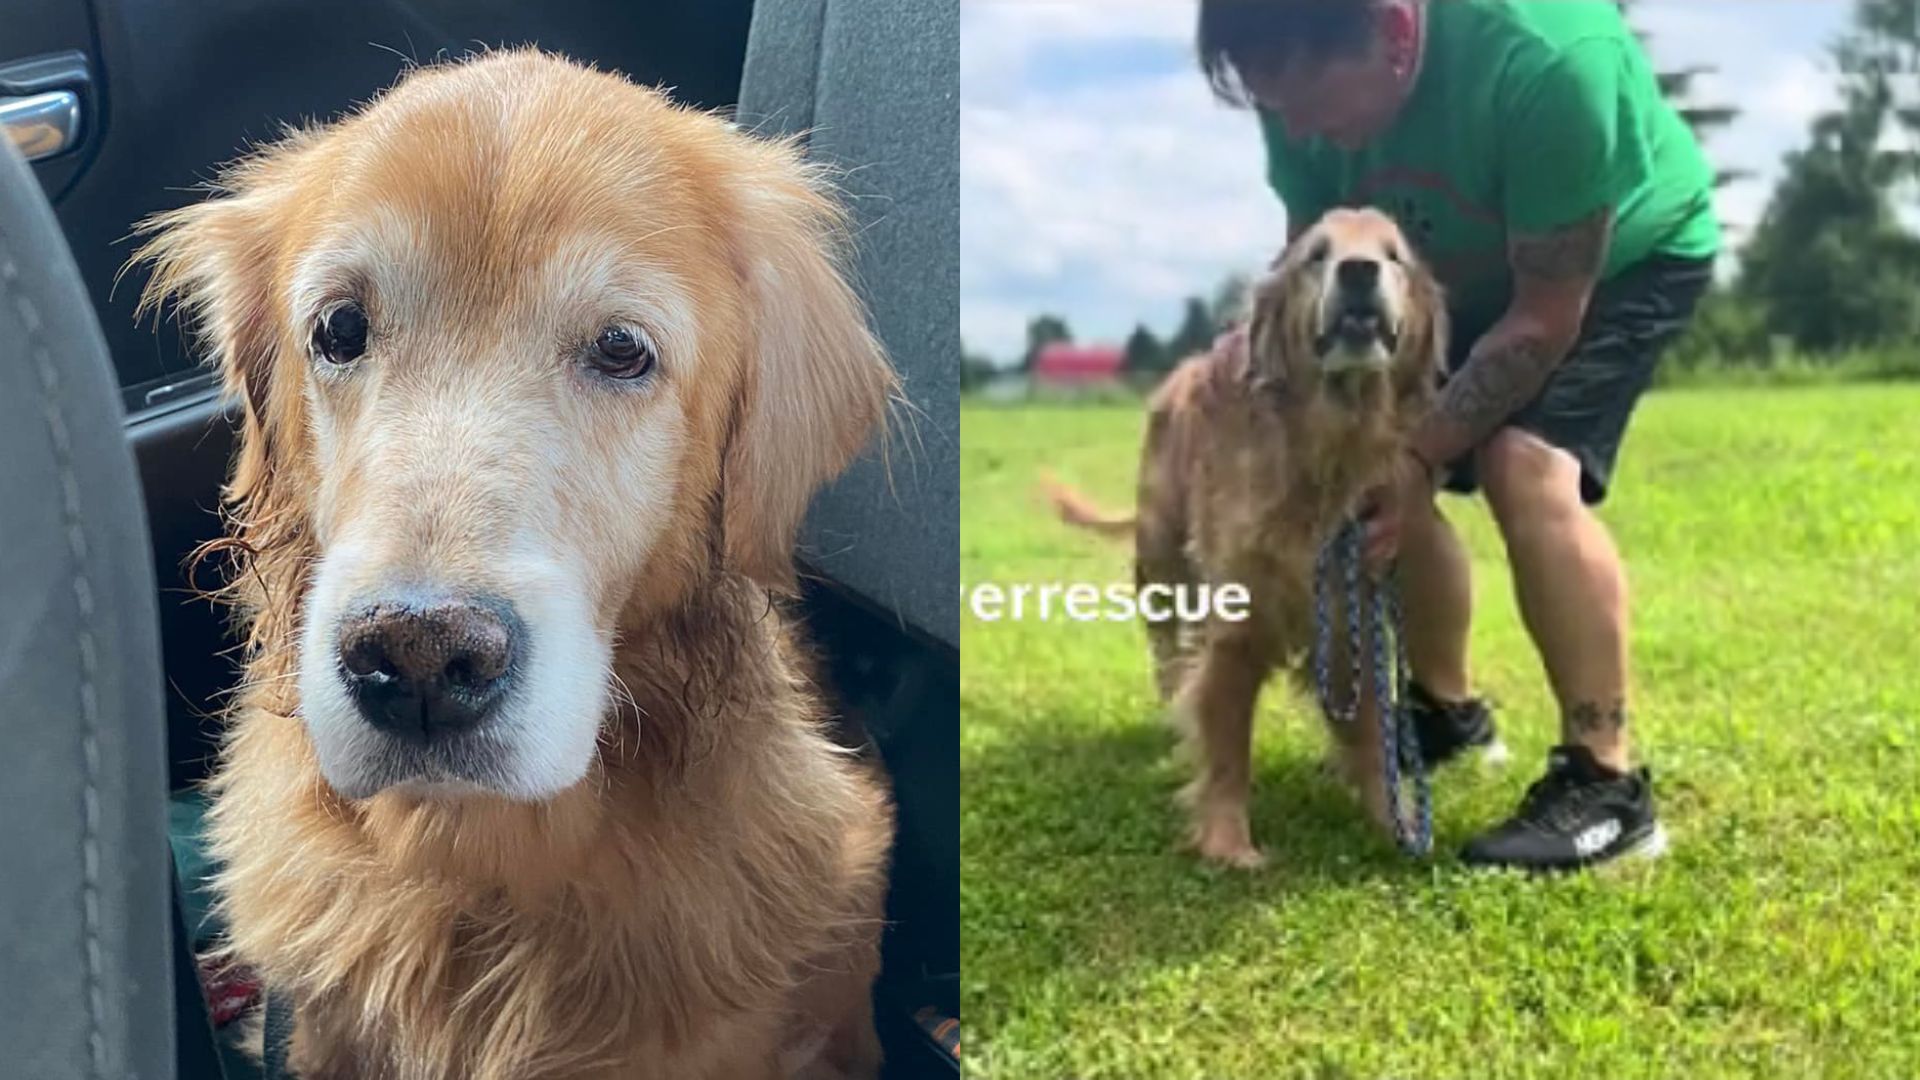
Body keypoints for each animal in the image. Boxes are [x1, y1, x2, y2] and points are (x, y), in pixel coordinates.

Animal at [1052, 205, 1443, 864]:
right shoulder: (1236, 622)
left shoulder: (1351, 614)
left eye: (1393, 255)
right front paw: (1228, 843)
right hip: (1162, 558)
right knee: (1167, 646)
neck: (1324, 453)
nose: (1359, 270)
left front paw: (1394, 825)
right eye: (1317, 255)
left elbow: (1369, 732)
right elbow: (1226, 743)